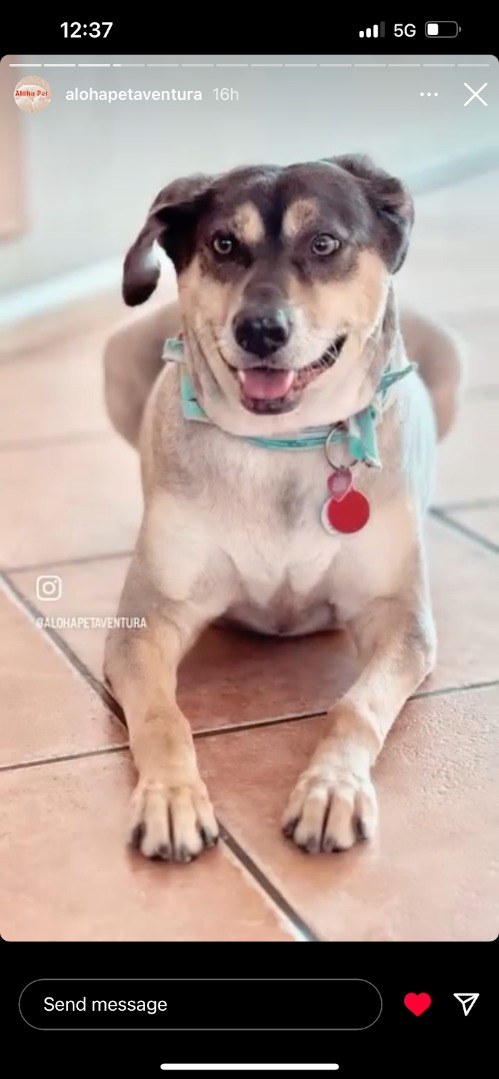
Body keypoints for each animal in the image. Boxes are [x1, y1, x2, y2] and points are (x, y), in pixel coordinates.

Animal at [103, 154, 463, 862]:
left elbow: (354, 706)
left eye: (323, 243)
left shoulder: (400, 621)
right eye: (223, 244)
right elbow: (161, 714)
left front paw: (331, 791)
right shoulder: (145, 623)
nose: (261, 330)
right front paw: (170, 799)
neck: (285, 446)